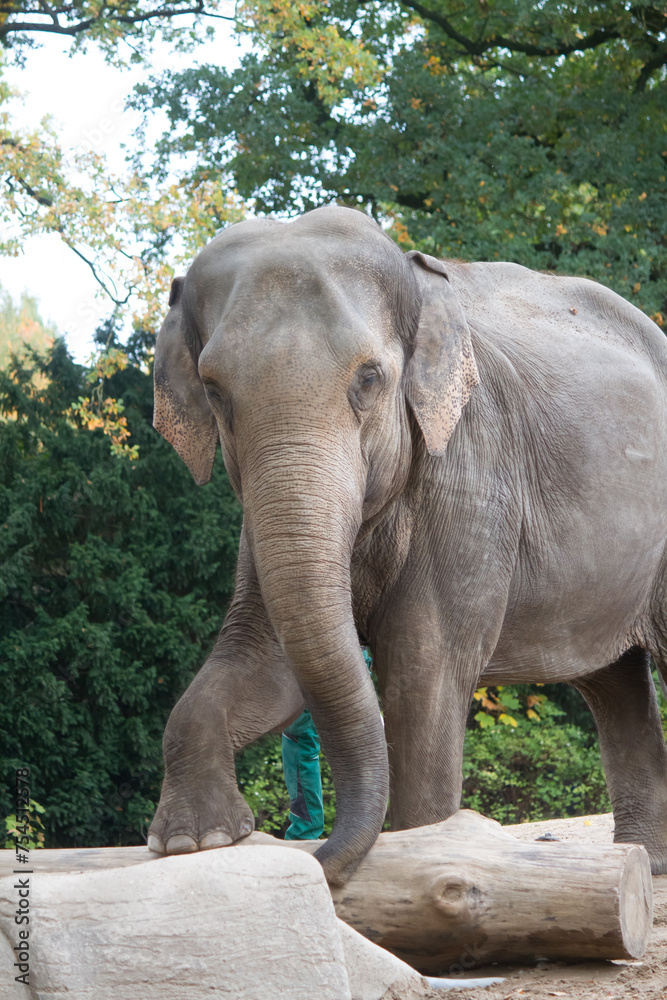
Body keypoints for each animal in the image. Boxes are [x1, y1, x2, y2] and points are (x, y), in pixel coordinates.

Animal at [148, 204, 667, 886]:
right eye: (213, 391)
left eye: (370, 378)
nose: (312, 854)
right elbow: (266, 662)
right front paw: (195, 840)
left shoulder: (472, 473)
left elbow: (423, 676)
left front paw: (427, 853)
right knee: (614, 681)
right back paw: (645, 867)